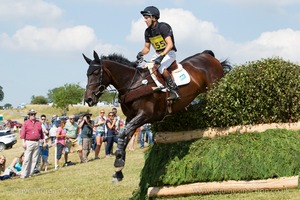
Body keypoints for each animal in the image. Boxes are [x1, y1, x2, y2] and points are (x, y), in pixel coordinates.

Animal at [83, 49, 231, 181]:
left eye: (96, 73)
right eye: (87, 74)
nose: (88, 99)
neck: (133, 84)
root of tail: (208, 56)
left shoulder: (146, 115)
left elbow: (122, 133)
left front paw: (118, 162)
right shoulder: (131, 118)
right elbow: (125, 135)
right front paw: (119, 168)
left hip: (215, 87)